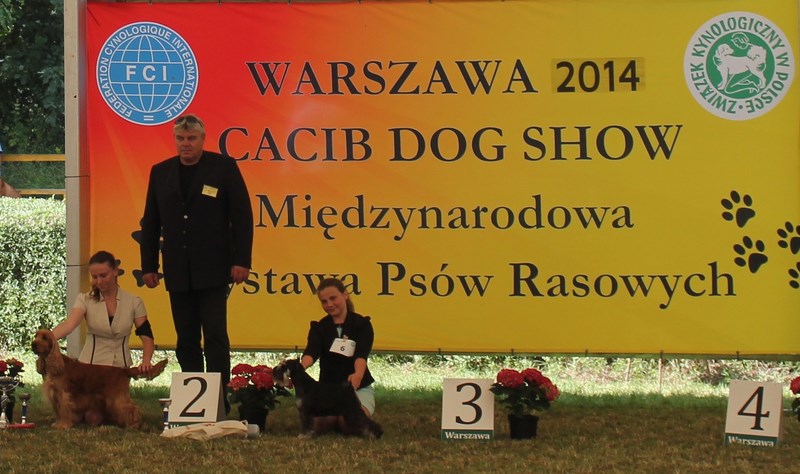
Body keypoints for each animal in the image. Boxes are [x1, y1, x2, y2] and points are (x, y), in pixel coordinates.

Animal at [32, 329, 167, 429]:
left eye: (45, 338)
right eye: (36, 335)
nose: (33, 344)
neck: (55, 364)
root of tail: (123, 370)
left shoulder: (63, 394)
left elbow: (64, 411)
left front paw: (63, 425)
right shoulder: (54, 395)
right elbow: (58, 412)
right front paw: (57, 423)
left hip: (117, 397)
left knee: (131, 408)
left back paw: (134, 424)